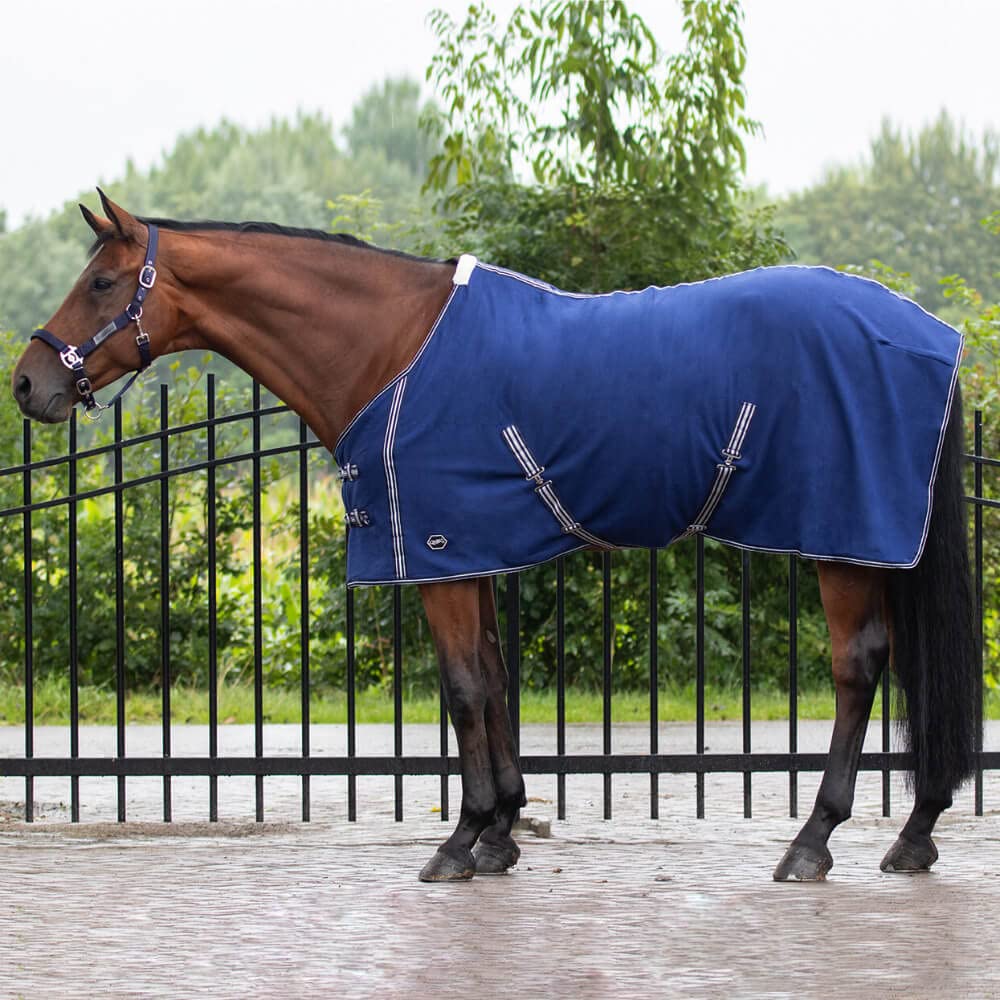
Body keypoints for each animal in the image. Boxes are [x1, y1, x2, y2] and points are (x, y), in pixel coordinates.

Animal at [11, 190, 979, 882]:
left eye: (101, 283)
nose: (27, 384)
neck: (392, 347)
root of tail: (931, 335)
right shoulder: (469, 550)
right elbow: (493, 678)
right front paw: (502, 831)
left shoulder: (435, 554)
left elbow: (464, 689)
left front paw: (461, 840)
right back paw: (914, 835)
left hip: (843, 539)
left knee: (859, 665)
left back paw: (813, 842)